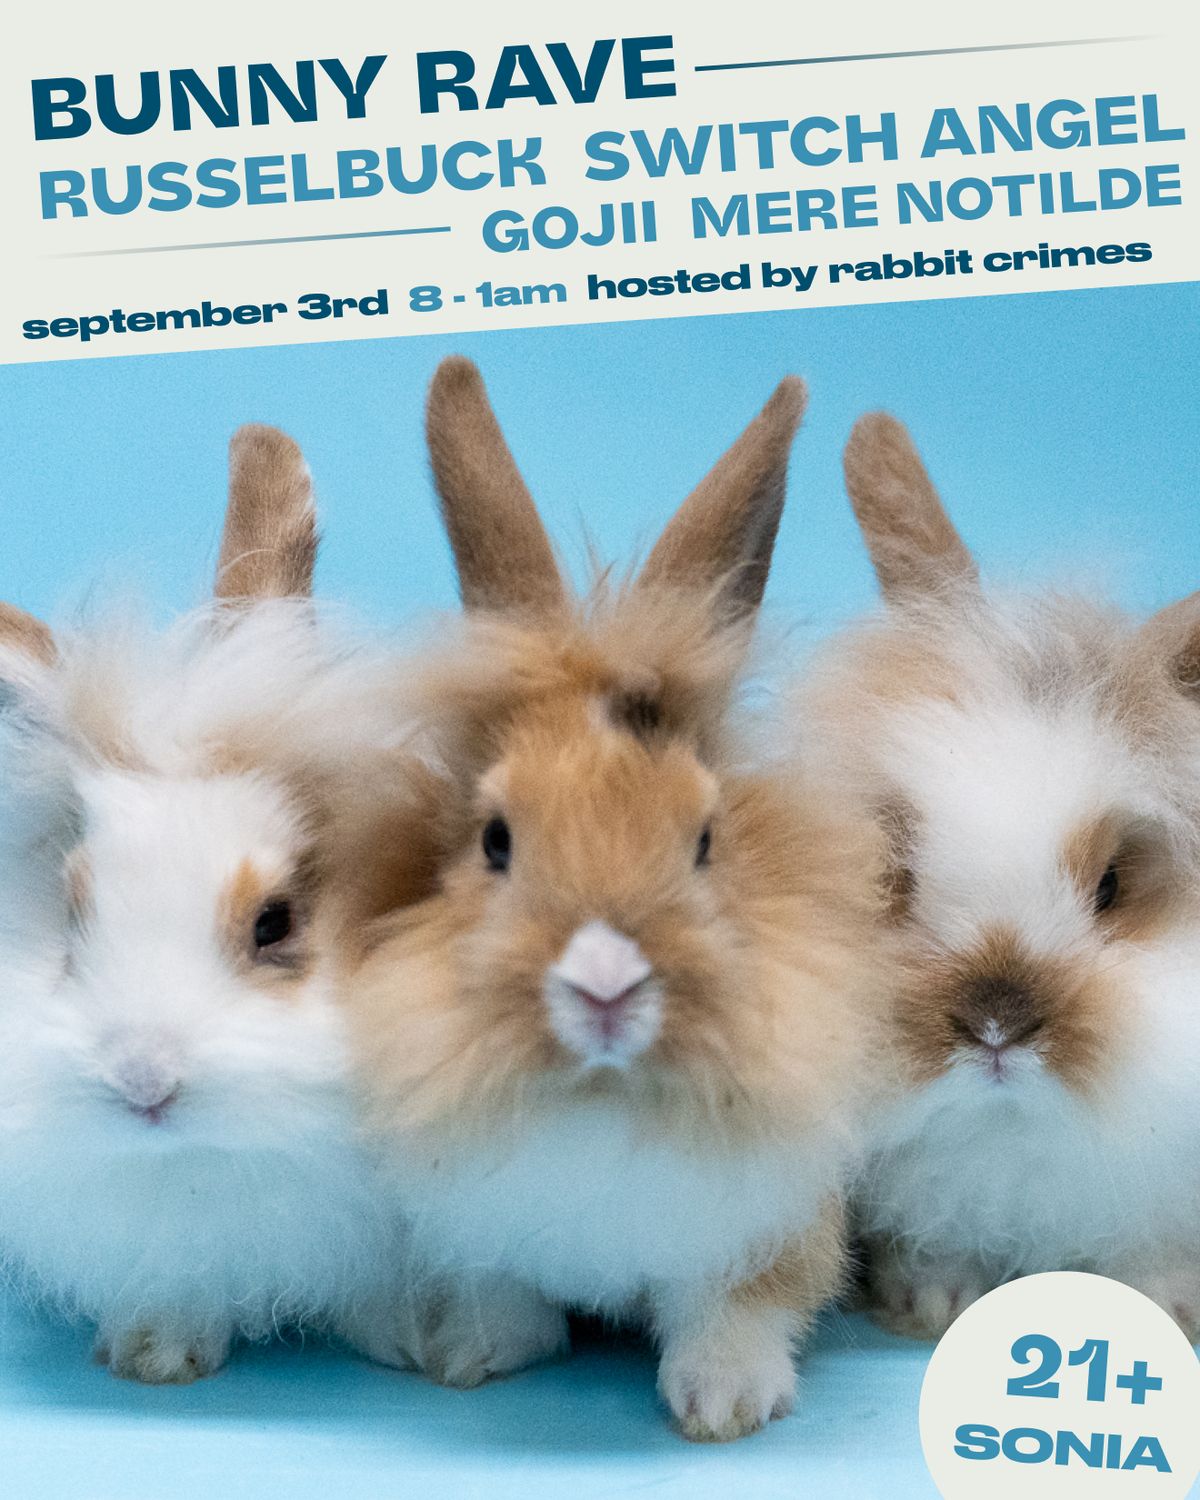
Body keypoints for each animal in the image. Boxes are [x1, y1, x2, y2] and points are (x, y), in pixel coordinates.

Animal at [332, 358, 893, 1442]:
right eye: (495, 839)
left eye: (707, 840)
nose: (602, 983)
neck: (599, 1097)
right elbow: (504, 1297)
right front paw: (468, 1353)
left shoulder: (766, 1234)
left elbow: (738, 1307)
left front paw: (725, 1403)